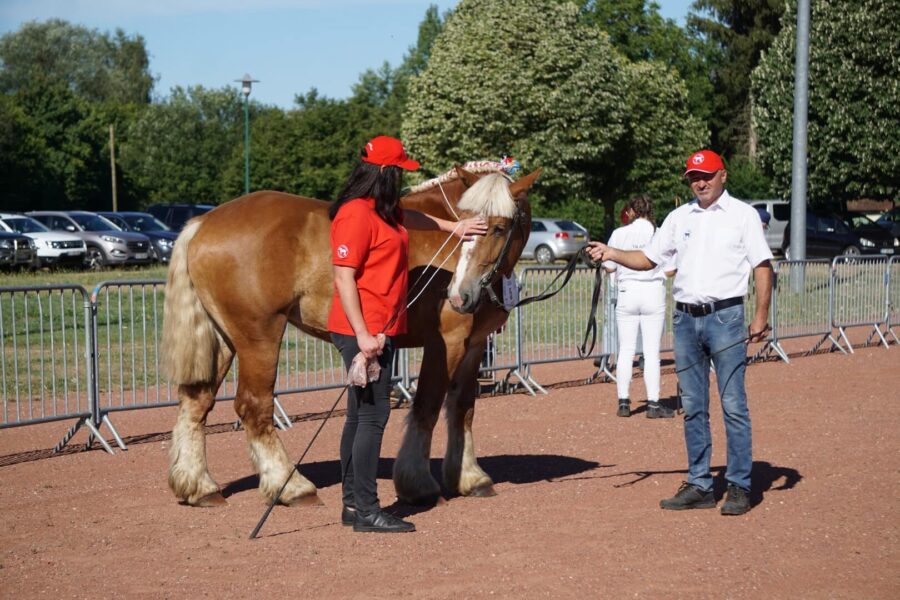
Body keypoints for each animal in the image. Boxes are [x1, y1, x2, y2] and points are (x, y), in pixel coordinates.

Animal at [160, 163, 540, 506]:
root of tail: (203, 223)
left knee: (197, 403)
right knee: (253, 406)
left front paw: (469, 477)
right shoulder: (445, 342)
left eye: (499, 227)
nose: (460, 295)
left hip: (223, 339)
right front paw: (417, 483)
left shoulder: (474, 345)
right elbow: (428, 406)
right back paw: (291, 486)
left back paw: (199, 486)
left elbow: (462, 408)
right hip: (259, 336)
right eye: (468, 222)